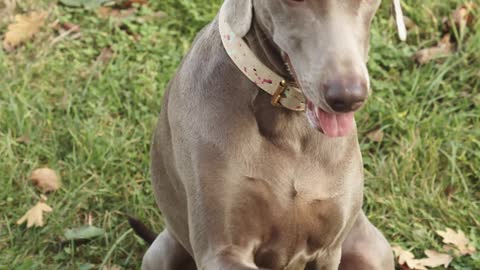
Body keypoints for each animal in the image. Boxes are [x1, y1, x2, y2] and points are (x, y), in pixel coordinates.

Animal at [134, 0, 394, 270]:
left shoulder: (329, 249)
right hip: (163, 251)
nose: (348, 97)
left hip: (371, 247)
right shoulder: (222, 251)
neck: (291, 123)